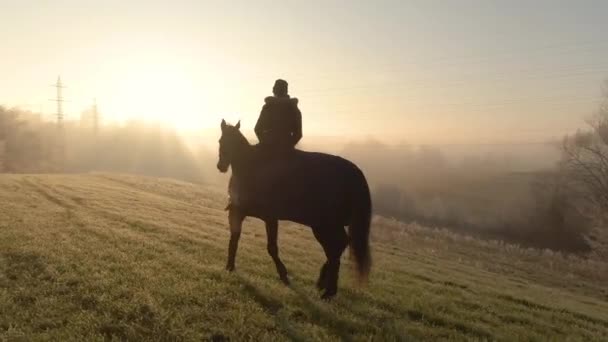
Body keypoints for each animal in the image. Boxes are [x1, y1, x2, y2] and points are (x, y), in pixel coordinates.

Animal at [216, 119, 372, 300]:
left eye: (229, 142)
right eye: (221, 141)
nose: (221, 166)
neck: (251, 167)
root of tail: (355, 173)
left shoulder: (270, 218)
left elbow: (271, 247)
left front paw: (283, 275)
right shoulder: (237, 213)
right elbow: (234, 239)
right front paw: (230, 267)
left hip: (326, 225)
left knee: (336, 247)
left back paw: (328, 290)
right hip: (323, 226)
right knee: (337, 247)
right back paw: (323, 285)